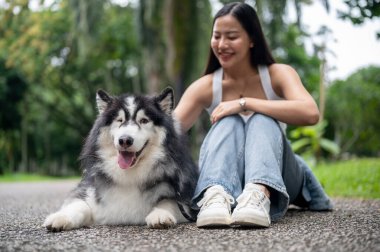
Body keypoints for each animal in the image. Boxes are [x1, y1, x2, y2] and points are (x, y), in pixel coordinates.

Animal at [43, 87, 199, 231]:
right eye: (119, 120)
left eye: (144, 120)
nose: (125, 140)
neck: (129, 176)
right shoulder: (89, 191)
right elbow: (79, 204)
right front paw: (61, 217)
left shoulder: (184, 198)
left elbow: (170, 202)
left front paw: (161, 214)